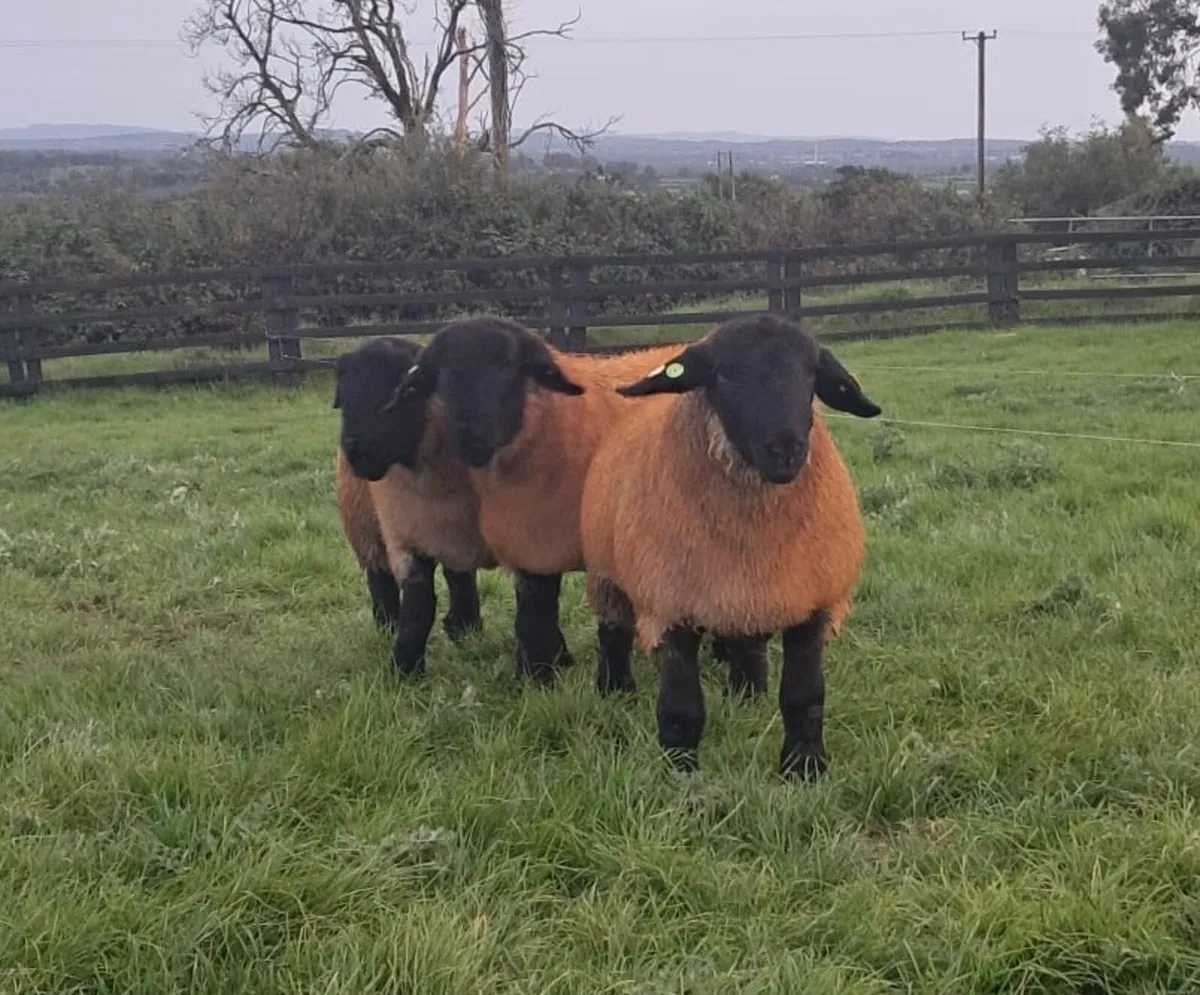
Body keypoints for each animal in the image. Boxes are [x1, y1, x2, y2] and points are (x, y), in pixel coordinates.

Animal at [333, 336, 495, 677]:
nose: (357, 451)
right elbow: (420, 604)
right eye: (346, 396)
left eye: (405, 392)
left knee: (458, 576)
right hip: (364, 525)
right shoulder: (405, 537)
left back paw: (464, 628)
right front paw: (405, 669)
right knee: (379, 577)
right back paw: (388, 625)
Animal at [389, 316, 686, 686]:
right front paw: (541, 670)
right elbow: (532, 615)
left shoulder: (546, 541)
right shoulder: (528, 541)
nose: (470, 438)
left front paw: (539, 678)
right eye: (442, 376)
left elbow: (536, 617)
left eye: (508, 368)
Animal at [578, 313, 882, 779]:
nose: (785, 449)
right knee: (613, 632)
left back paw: (748, 694)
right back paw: (615, 689)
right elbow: (680, 710)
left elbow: (805, 696)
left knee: (746, 643)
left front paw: (804, 768)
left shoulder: (813, 600)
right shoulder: (669, 605)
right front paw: (681, 773)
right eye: (723, 374)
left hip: (742, 595)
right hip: (606, 572)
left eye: (811, 374)